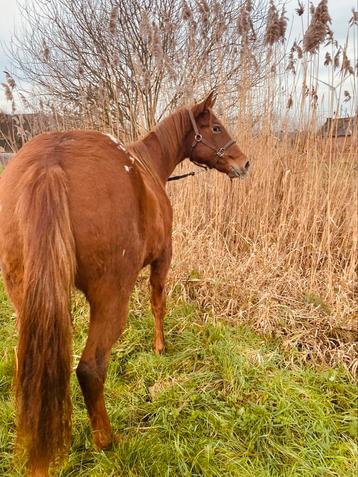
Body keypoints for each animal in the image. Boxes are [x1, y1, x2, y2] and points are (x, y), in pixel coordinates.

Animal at [0, 92, 249, 472]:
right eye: (216, 127)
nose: (244, 162)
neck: (147, 166)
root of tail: (49, 165)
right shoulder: (163, 258)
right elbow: (158, 304)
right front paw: (160, 347)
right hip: (111, 299)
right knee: (90, 368)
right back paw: (107, 440)